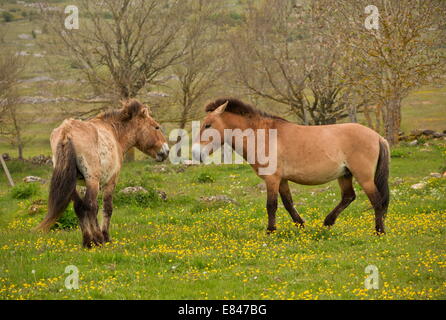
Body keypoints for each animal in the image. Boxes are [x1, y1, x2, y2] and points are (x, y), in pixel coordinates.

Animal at [36, 100, 169, 248]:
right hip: (92, 180)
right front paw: (105, 237)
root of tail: (66, 131)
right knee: (90, 206)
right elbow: (106, 208)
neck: (114, 133)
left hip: (73, 184)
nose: (166, 151)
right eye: (156, 127)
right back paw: (98, 239)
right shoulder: (111, 181)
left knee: (79, 207)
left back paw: (87, 241)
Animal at [193, 98, 390, 235]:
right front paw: (301, 225)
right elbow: (288, 204)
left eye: (208, 125)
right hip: (345, 174)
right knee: (349, 197)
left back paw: (379, 232)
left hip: (363, 177)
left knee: (376, 200)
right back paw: (328, 222)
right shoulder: (282, 180)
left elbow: (271, 205)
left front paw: (270, 231)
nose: (196, 153)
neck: (264, 135)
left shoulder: (272, 179)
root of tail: (377, 137)